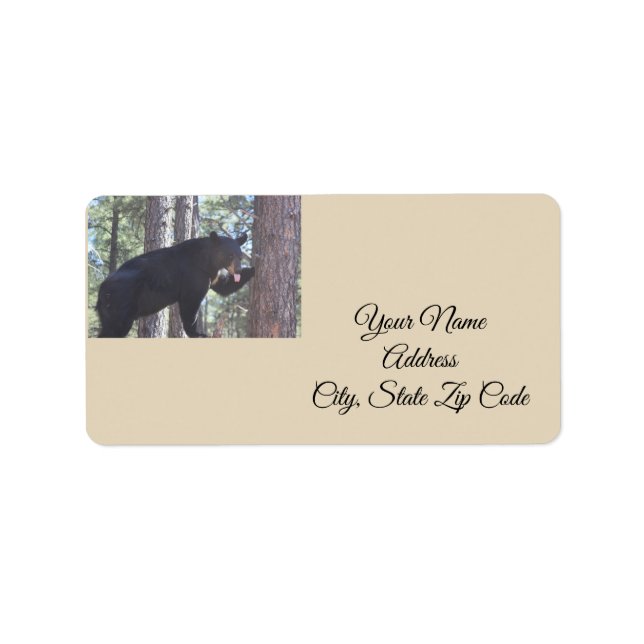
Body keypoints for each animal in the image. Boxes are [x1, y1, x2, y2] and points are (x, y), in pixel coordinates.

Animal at [96, 231, 254, 337]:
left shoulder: (212, 274)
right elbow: (190, 302)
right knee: (115, 328)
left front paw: (253, 269)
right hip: (121, 301)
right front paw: (197, 333)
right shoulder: (195, 274)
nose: (238, 270)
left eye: (240, 256)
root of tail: (102, 288)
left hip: (109, 309)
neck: (207, 261)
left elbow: (223, 286)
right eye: (230, 255)